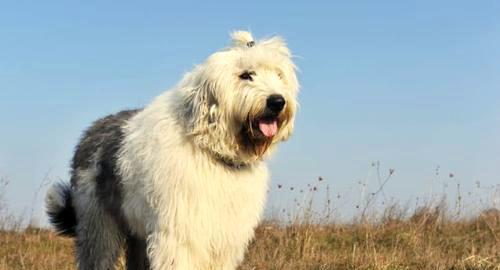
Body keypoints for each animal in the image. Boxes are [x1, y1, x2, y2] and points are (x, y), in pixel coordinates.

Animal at [45, 31, 298, 270]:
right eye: (246, 75)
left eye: (279, 75)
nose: (277, 101)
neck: (211, 150)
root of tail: (91, 130)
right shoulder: (180, 233)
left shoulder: (225, 238)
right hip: (98, 223)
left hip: (138, 232)